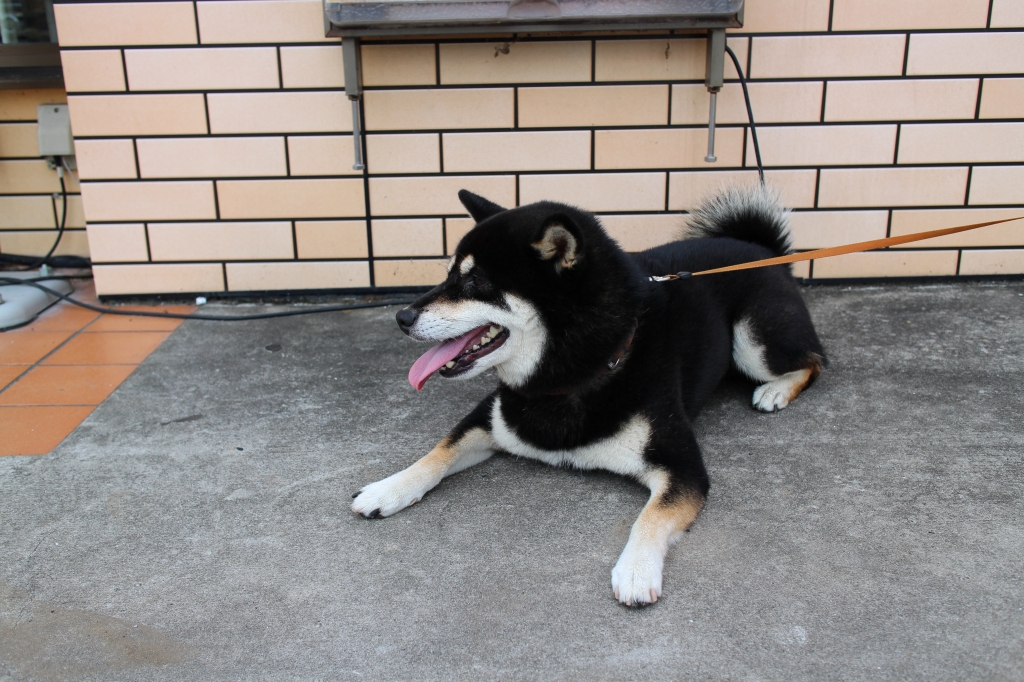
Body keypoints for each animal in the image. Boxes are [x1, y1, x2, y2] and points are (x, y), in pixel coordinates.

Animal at [352, 183, 823, 602]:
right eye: (449, 274)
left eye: (475, 283)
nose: (401, 316)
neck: (570, 378)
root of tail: (761, 250)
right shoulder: (493, 415)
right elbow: (439, 452)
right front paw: (387, 489)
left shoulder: (682, 464)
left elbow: (652, 515)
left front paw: (635, 570)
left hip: (753, 342)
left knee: (814, 361)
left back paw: (775, 391)